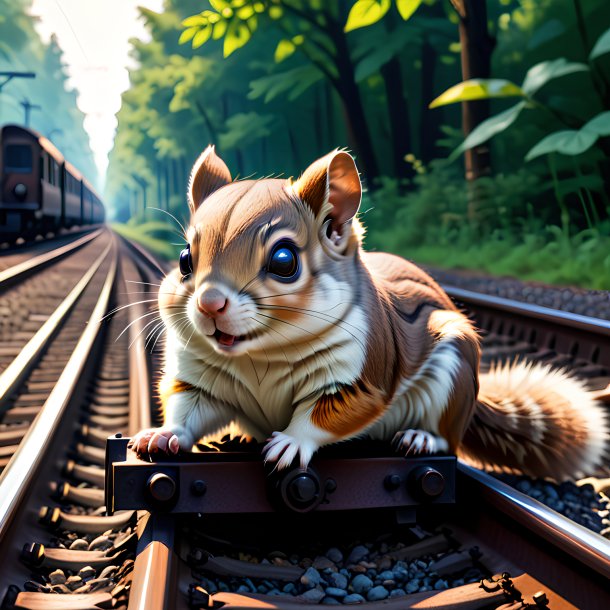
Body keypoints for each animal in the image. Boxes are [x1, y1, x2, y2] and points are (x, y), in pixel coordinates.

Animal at [129, 145, 608, 478]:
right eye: (184, 259)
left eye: (284, 261)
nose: (209, 304)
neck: (258, 357)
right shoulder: (197, 376)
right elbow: (188, 407)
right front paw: (162, 435)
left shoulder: (361, 377)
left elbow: (326, 414)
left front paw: (290, 443)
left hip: (454, 371)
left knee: (448, 437)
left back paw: (420, 437)